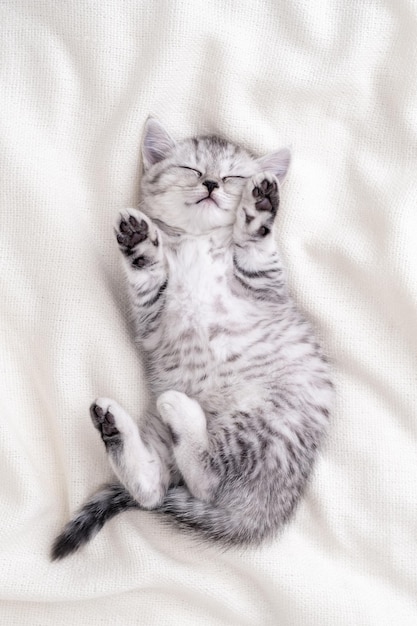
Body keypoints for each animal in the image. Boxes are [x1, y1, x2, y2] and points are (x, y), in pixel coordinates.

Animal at [51, 119, 332, 560]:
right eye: (192, 169)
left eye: (233, 177)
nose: (212, 184)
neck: (199, 241)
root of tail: (266, 511)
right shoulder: (152, 315)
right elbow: (148, 276)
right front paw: (138, 241)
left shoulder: (264, 285)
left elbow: (255, 247)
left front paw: (260, 207)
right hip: (168, 435)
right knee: (159, 489)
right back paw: (115, 426)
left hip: (265, 421)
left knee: (206, 479)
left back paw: (179, 413)